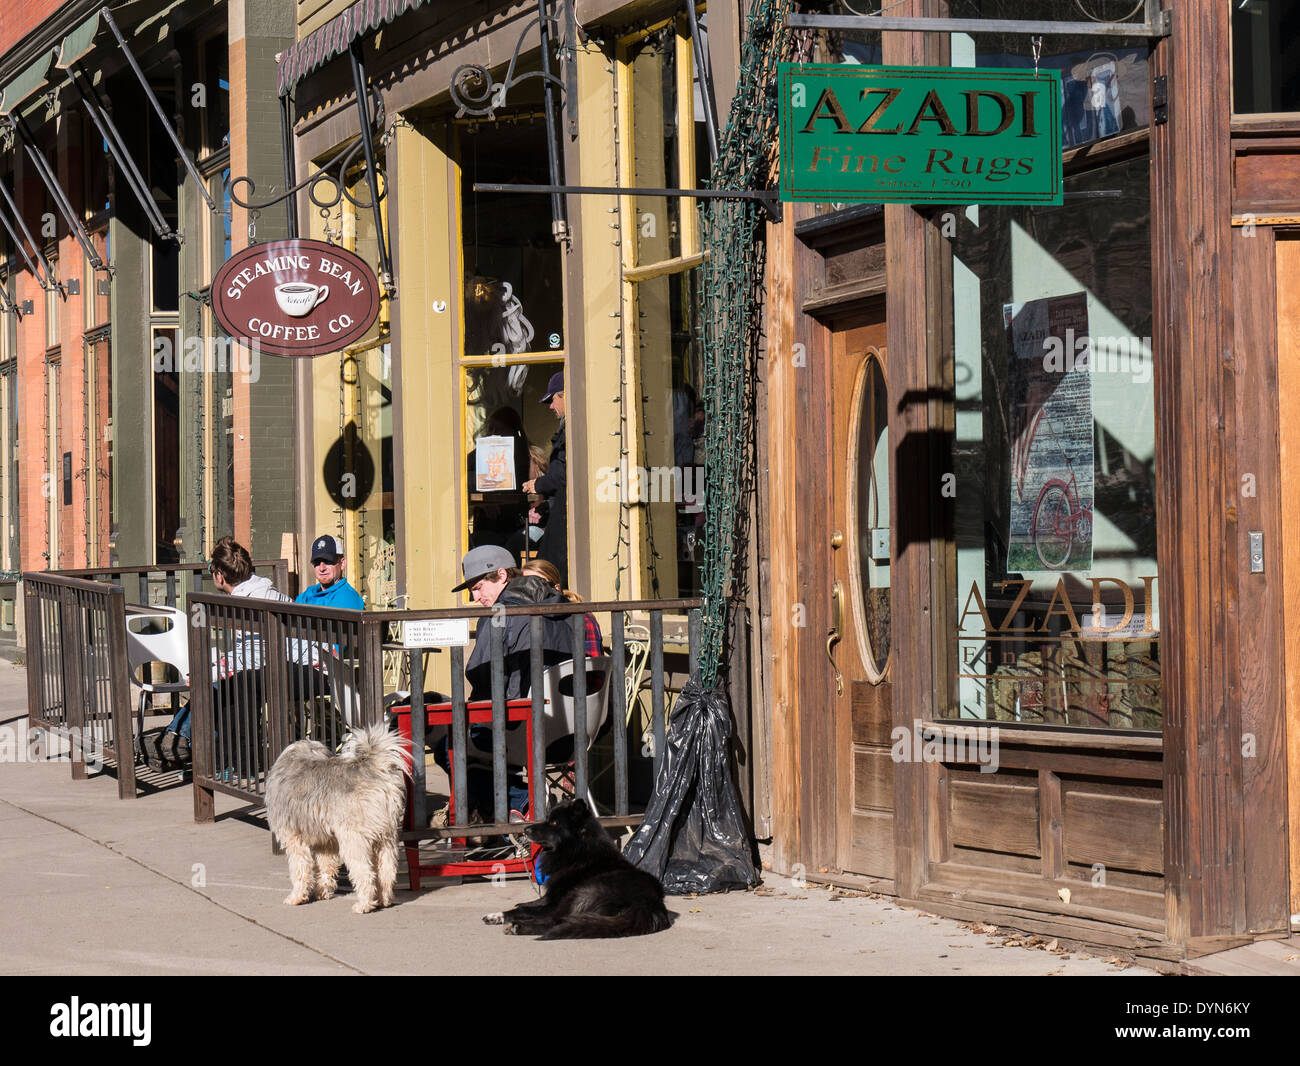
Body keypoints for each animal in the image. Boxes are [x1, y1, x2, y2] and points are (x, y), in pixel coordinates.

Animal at [262, 722, 405, 909]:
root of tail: (374, 770)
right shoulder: (326, 843)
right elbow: (326, 867)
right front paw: (322, 892)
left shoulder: (293, 838)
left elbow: (300, 870)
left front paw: (297, 897)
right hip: (387, 836)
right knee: (387, 870)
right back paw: (383, 900)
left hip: (353, 839)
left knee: (365, 873)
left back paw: (363, 905)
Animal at [483, 800, 676, 941]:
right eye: (547, 818)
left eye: (554, 822)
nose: (525, 829)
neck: (577, 850)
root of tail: (649, 903)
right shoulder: (550, 897)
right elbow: (527, 904)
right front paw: (504, 913)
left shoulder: (555, 900)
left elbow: (522, 910)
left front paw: (502, 916)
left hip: (582, 893)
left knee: (554, 920)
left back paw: (518, 926)